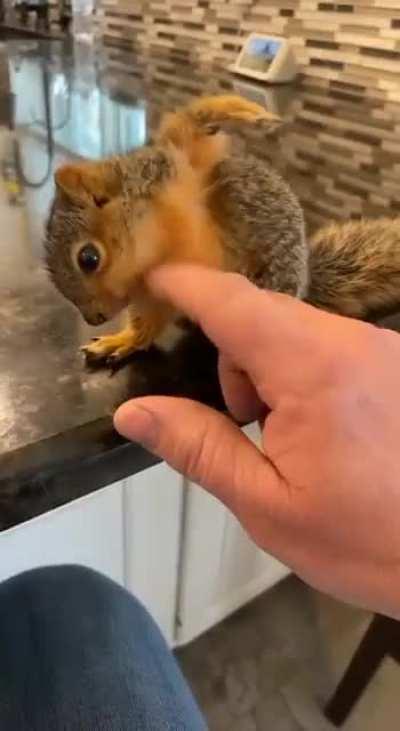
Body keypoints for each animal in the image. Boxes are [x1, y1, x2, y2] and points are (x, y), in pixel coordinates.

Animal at [45, 94, 400, 366]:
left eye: (88, 258)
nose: (93, 318)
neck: (161, 243)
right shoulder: (153, 294)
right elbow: (148, 323)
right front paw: (123, 339)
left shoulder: (181, 165)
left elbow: (195, 119)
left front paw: (249, 111)